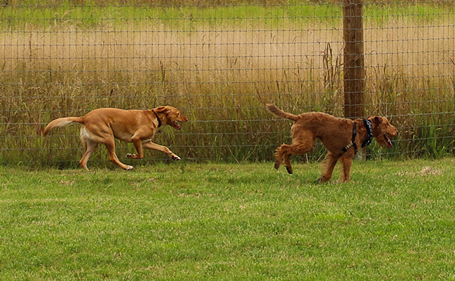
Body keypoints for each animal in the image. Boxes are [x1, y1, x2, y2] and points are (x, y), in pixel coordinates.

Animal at [41, 105, 187, 170]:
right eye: (178, 113)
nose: (187, 119)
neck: (154, 117)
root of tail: (84, 118)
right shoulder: (136, 139)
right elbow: (140, 155)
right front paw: (130, 156)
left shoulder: (146, 142)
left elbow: (164, 148)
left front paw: (175, 157)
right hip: (108, 137)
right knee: (112, 157)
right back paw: (126, 167)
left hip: (93, 144)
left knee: (83, 161)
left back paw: (89, 173)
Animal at [268, 103, 400, 182]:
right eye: (387, 123)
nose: (397, 131)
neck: (365, 128)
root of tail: (298, 117)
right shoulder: (347, 156)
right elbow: (346, 172)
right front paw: (347, 183)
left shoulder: (335, 154)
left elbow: (329, 171)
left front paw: (322, 180)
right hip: (305, 144)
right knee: (284, 147)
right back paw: (277, 163)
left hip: (302, 142)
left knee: (288, 151)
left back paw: (289, 168)